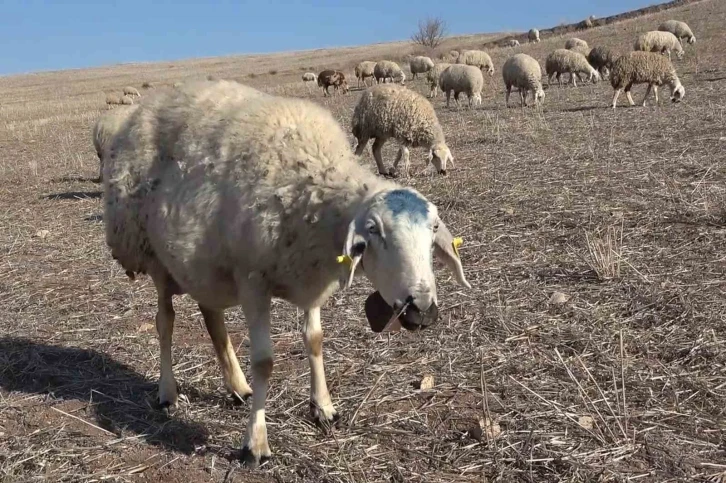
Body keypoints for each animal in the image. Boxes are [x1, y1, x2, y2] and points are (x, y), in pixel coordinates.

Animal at [105, 79, 474, 468]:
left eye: (434, 231)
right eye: (374, 232)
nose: (423, 311)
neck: (315, 182)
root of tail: (152, 104)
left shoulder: (310, 278)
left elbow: (314, 341)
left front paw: (323, 408)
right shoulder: (252, 280)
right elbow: (264, 362)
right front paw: (256, 443)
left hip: (205, 265)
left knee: (212, 318)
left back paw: (237, 387)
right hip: (154, 256)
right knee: (165, 322)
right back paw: (167, 391)